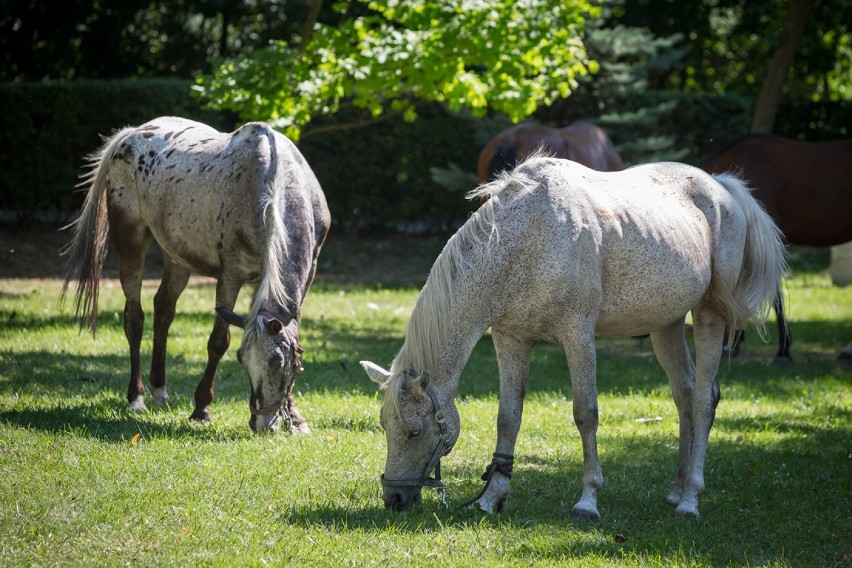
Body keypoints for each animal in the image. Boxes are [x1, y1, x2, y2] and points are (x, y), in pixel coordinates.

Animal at [62, 116, 330, 434]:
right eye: (242, 360)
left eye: (278, 363)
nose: (262, 424)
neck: (272, 188)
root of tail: (132, 134)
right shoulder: (231, 275)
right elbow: (218, 342)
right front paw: (201, 407)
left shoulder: (304, 274)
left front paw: (296, 418)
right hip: (131, 245)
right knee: (134, 318)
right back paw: (137, 397)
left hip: (178, 259)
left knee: (164, 310)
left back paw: (160, 390)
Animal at [360, 155, 784, 520]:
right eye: (384, 426)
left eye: (415, 431)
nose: (394, 497)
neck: (527, 237)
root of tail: (722, 188)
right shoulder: (511, 339)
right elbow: (508, 418)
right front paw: (492, 497)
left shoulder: (578, 333)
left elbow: (586, 414)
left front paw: (588, 500)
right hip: (667, 324)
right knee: (684, 395)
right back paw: (676, 490)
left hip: (710, 316)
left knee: (703, 401)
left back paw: (690, 500)